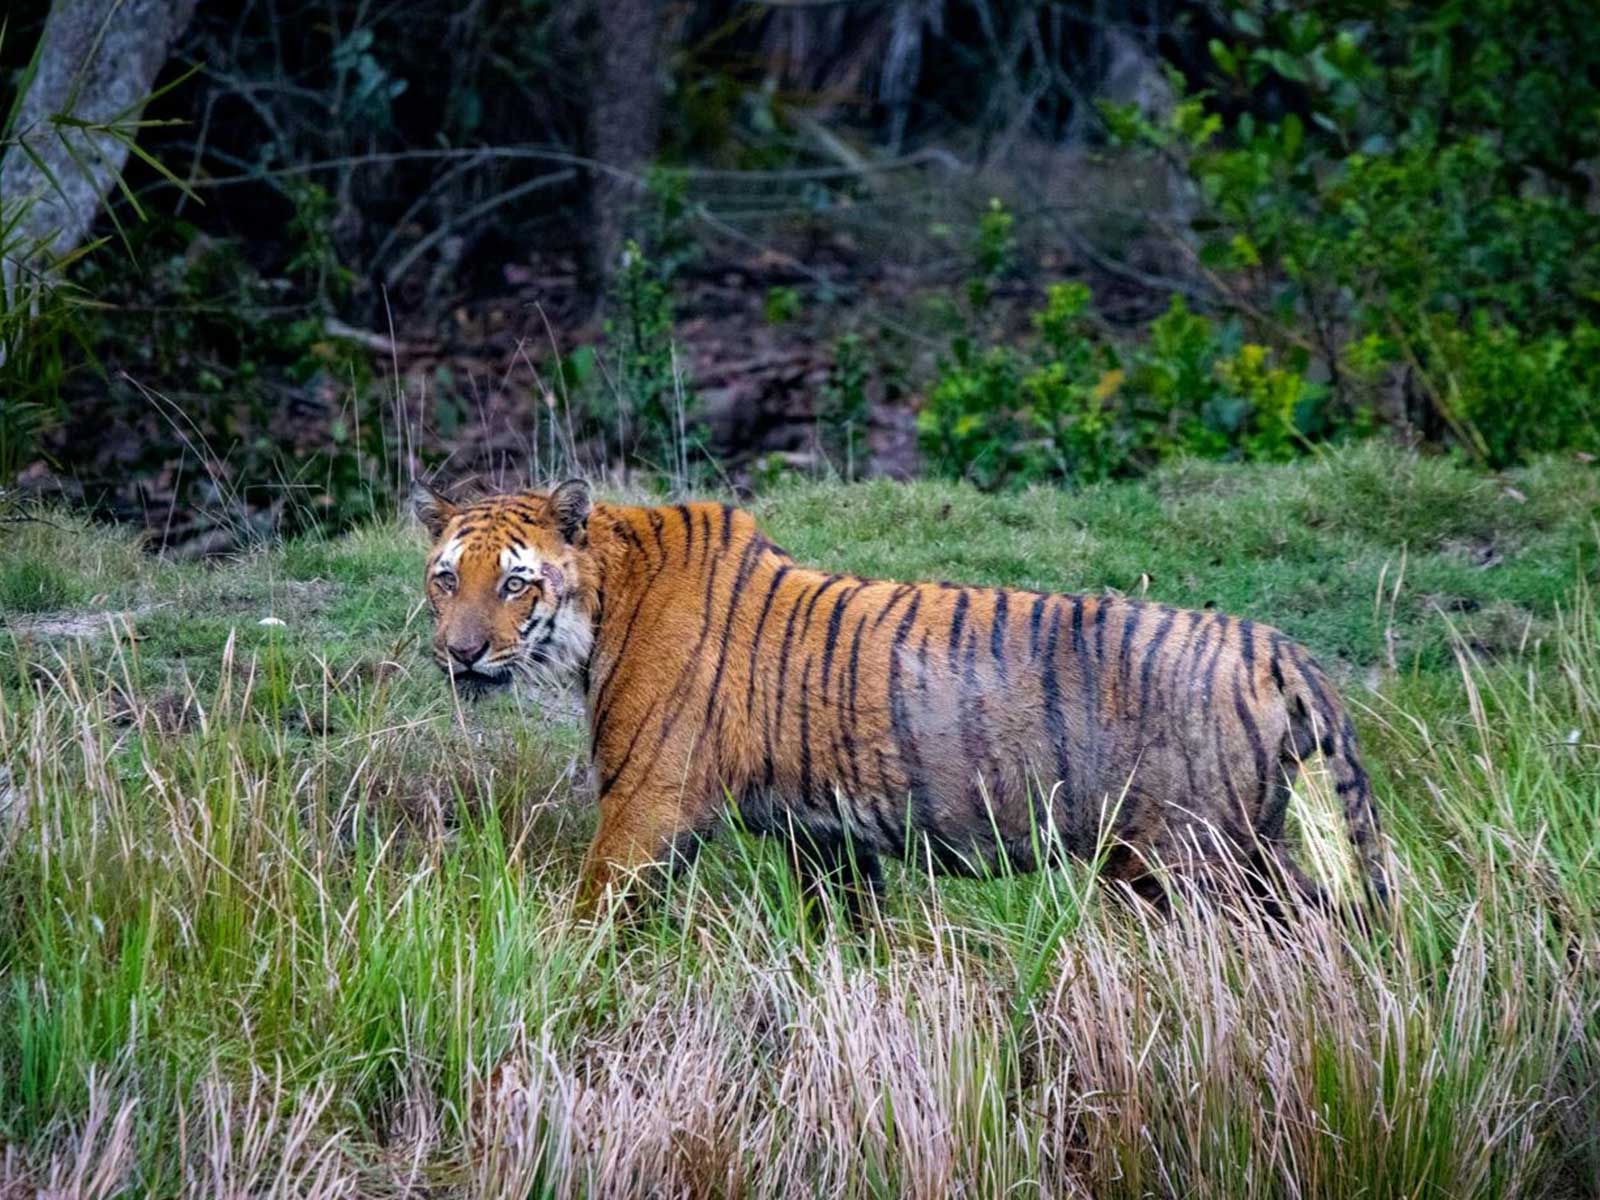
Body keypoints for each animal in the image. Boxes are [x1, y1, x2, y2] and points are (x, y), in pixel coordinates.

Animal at [412, 479, 1388, 921]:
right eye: (445, 578)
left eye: (513, 584)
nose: (460, 654)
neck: (604, 601)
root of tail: (1277, 648)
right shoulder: (826, 836)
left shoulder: (644, 805)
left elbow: (594, 914)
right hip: (1236, 849)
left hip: (1196, 859)